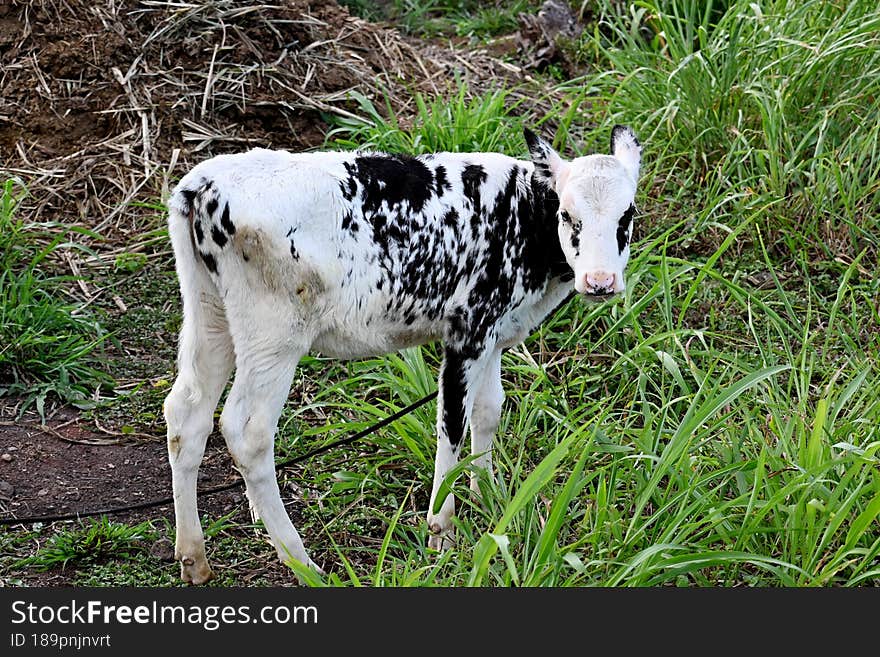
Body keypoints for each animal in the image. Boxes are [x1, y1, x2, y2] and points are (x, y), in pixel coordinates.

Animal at [163, 125, 640, 580]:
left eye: (628, 214)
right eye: (567, 214)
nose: (600, 281)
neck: (520, 215)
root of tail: (204, 183)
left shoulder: (494, 332)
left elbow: (488, 411)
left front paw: (488, 497)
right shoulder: (467, 330)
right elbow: (452, 423)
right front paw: (441, 529)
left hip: (211, 314)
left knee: (187, 413)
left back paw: (194, 557)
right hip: (273, 335)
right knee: (248, 432)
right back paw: (301, 561)